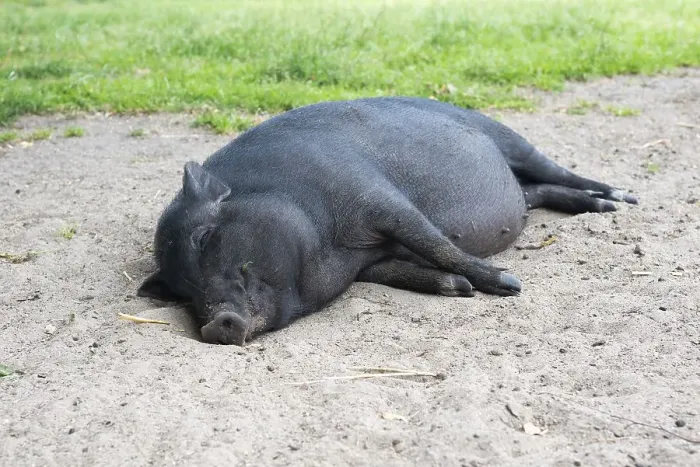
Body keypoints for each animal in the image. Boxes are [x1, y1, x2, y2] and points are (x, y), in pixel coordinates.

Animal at [137, 97, 637, 345]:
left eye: (204, 238)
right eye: (180, 291)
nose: (212, 326)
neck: (332, 251)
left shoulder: (376, 196)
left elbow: (434, 240)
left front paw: (509, 284)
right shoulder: (369, 261)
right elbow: (400, 269)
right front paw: (459, 289)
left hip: (508, 138)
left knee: (559, 172)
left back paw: (620, 200)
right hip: (521, 191)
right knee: (541, 193)